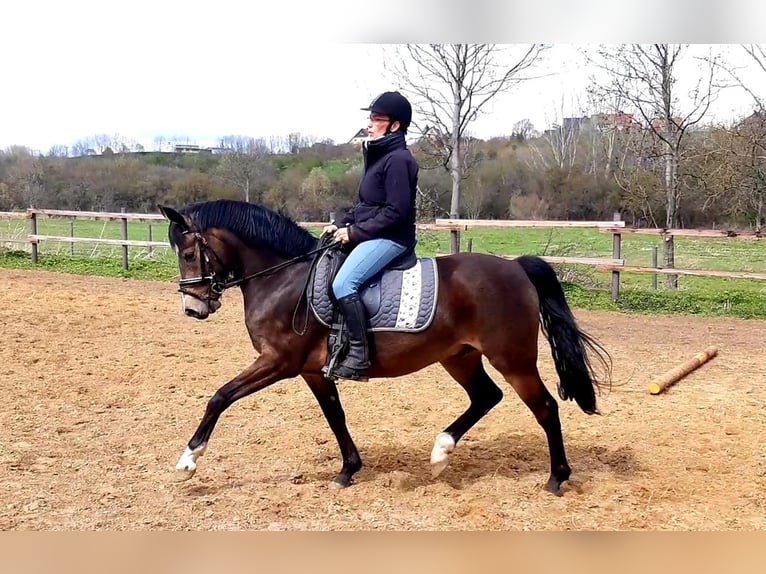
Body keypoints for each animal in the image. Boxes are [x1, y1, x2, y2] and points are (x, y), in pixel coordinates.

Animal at [159, 200, 616, 498]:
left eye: (189, 252)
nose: (193, 308)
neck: (283, 279)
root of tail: (515, 267)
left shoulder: (277, 362)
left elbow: (220, 397)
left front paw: (188, 461)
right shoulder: (311, 370)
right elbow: (335, 416)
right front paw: (348, 469)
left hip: (513, 359)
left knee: (545, 408)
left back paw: (556, 478)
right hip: (460, 357)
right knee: (487, 396)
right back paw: (441, 452)